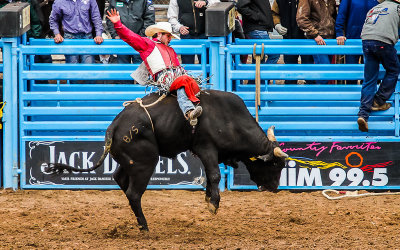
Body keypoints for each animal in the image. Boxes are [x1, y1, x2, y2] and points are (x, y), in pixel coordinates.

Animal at [46, 89, 288, 230]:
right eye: (275, 164)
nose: (275, 188)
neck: (230, 119)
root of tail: (114, 126)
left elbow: (209, 177)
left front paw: (208, 198)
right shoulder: (207, 148)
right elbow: (214, 174)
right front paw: (213, 204)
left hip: (129, 162)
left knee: (120, 179)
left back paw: (139, 222)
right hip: (144, 163)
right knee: (134, 193)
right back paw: (144, 226)